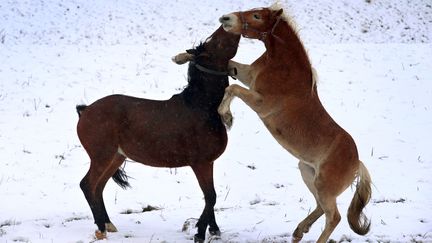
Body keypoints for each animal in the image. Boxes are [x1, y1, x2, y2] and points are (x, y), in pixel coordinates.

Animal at [76, 25, 241, 242]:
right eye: (217, 41)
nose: (226, 24)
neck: (201, 106)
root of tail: (85, 110)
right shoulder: (201, 163)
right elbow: (210, 196)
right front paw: (200, 232)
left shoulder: (209, 163)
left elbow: (209, 197)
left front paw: (213, 229)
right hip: (102, 156)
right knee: (87, 185)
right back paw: (101, 229)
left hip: (115, 158)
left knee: (98, 187)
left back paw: (108, 224)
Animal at [219, 4, 372, 243]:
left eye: (256, 16)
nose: (226, 18)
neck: (284, 68)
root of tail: (357, 162)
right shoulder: (247, 75)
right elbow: (230, 67)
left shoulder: (261, 103)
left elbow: (232, 88)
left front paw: (226, 117)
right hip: (307, 173)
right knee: (320, 207)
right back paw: (299, 230)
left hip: (324, 187)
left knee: (333, 216)